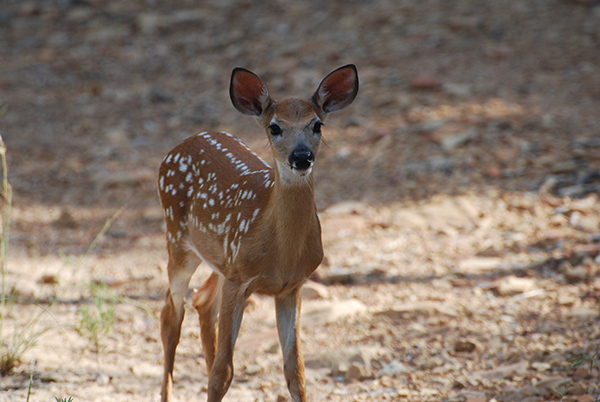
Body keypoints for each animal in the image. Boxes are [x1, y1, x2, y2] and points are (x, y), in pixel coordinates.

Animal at [157, 64, 358, 400]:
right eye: (275, 127)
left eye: (317, 125)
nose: (301, 156)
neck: (280, 253)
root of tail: (179, 146)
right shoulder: (239, 281)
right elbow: (222, 373)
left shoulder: (291, 286)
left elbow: (296, 372)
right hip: (178, 241)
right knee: (171, 317)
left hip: (220, 260)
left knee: (202, 302)